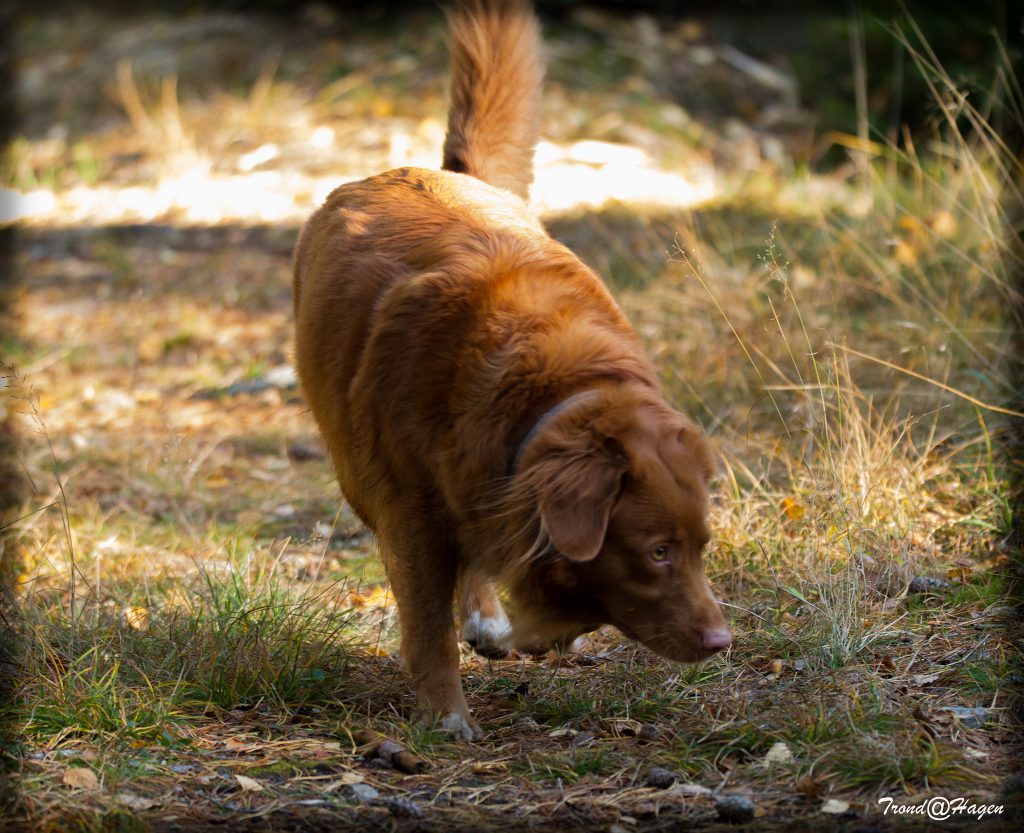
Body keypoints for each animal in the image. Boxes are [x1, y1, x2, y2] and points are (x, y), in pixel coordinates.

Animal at [292, 0, 733, 741]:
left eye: (701, 544)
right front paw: (446, 715)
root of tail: (429, 170)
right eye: (657, 552)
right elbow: (427, 621)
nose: (721, 643)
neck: (560, 393)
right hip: (362, 466)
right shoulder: (410, 507)